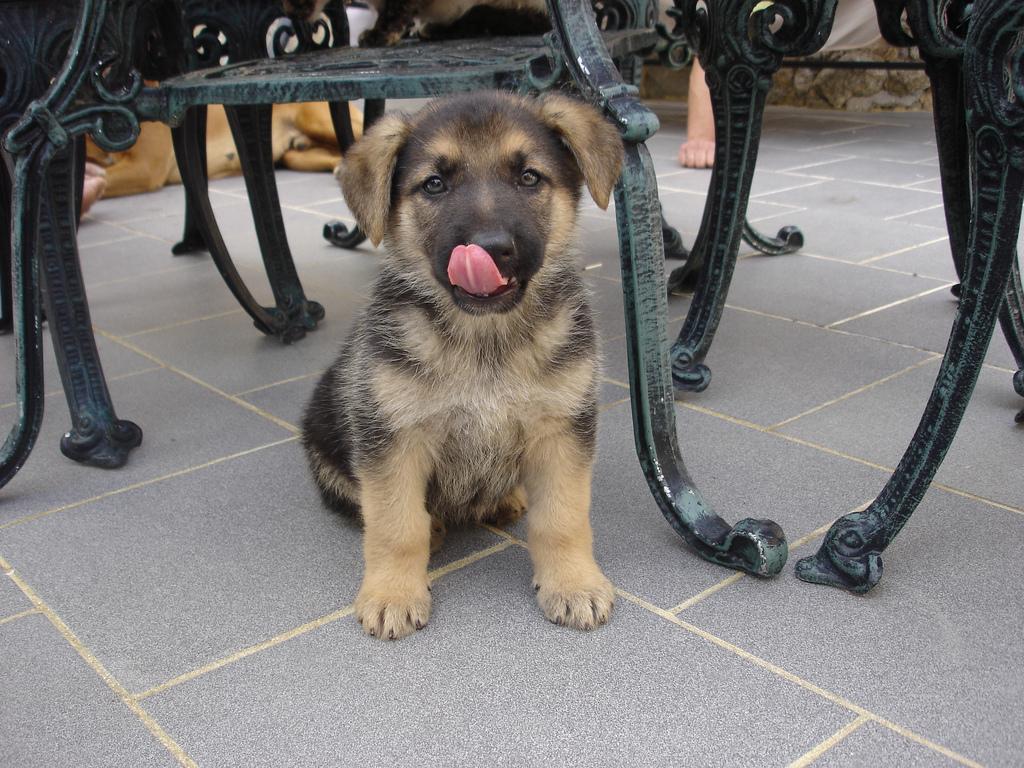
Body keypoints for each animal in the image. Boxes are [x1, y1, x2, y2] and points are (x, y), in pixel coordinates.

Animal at [299, 91, 622, 643]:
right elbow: (395, 526)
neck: (485, 340)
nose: (491, 248)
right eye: (434, 183)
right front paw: (392, 593)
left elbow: (562, 518)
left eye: (529, 177)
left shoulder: (562, 429)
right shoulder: (391, 437)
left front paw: (574, 583)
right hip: (326, 445)